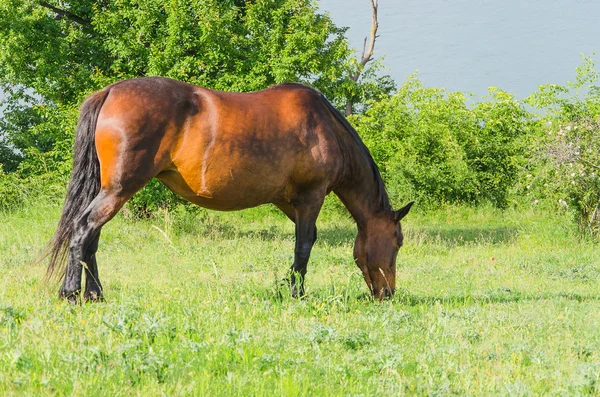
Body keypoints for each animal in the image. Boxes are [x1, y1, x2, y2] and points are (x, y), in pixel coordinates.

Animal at [45, 76, 412, 300]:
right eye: (397, 241)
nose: (387, 294)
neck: (325, 128)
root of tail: (110, 92)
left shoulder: (288, 201)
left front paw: (288, 286)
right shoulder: (312, 196)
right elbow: (305, 245)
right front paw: (296, 293)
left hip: (111, 191)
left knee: (90, 236)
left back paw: (95, 294)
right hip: (119, 190)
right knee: (84, 230)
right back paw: (71, 294)